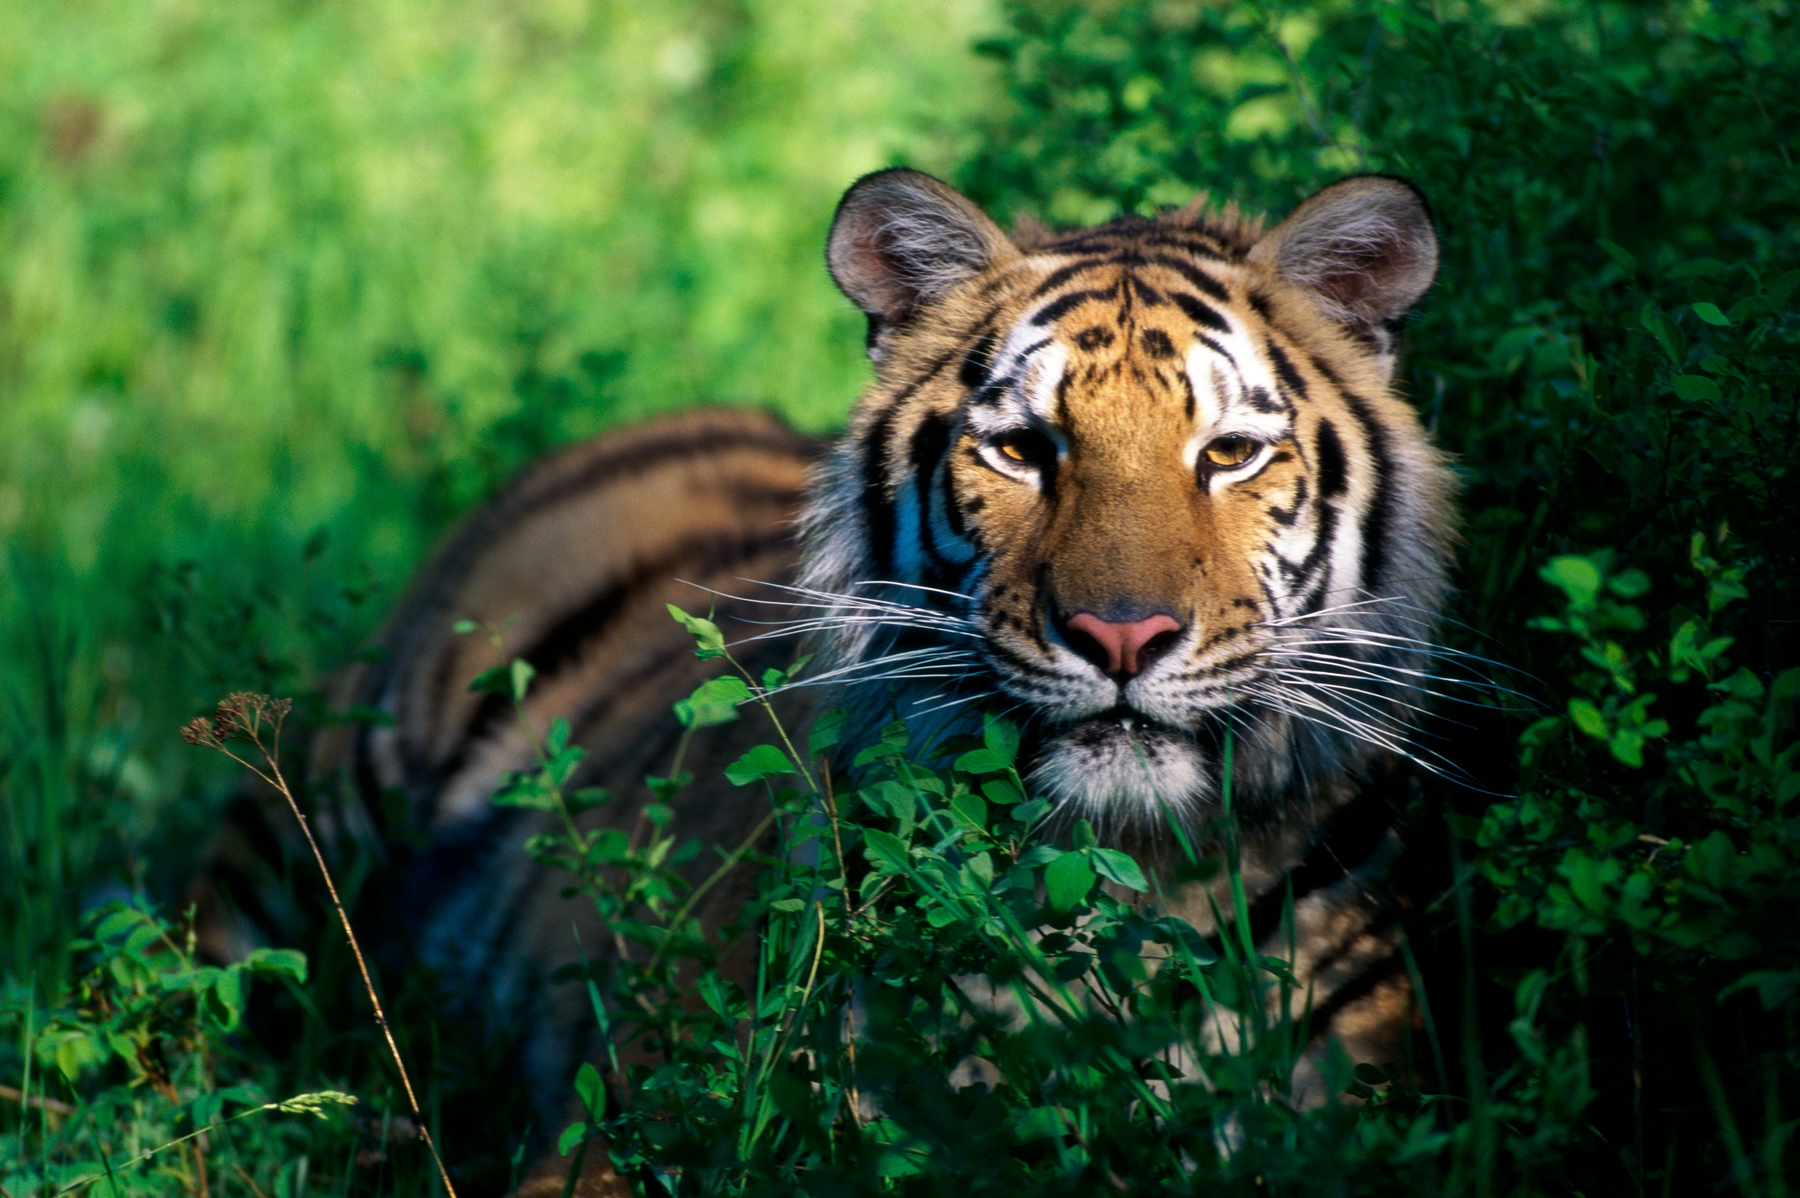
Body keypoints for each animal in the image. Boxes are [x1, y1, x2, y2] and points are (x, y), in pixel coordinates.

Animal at [199, 168, 1451, 1192]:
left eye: (1230, 453)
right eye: (1023, 448)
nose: (1121, 634)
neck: (1127, 872)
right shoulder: (668, 1108)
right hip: (336, 782)